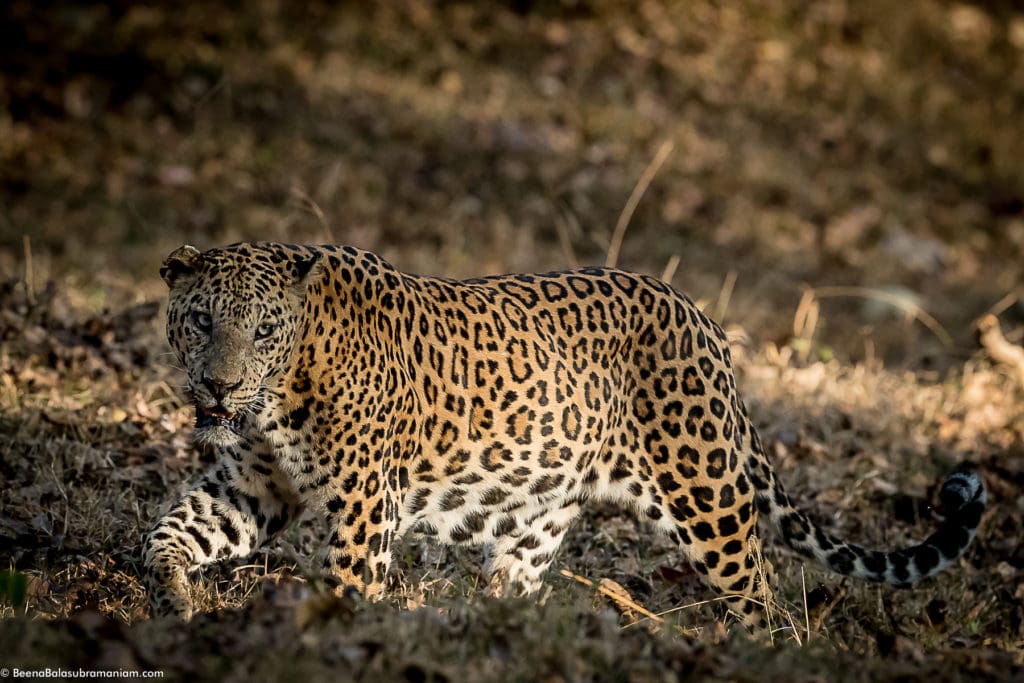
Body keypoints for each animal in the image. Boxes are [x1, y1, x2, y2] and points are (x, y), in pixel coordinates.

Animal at [140, 241, 987, 630]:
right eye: (202, 320)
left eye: (264, 329)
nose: (219, 386)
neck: (283, 388)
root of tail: (706, 322)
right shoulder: (251, 483)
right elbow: (173, 530)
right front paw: (172, 596)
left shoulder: (359, 505)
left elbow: (345, 585)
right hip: (537, 517)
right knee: (517, 580)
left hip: (709, 492)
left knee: (761, 594)